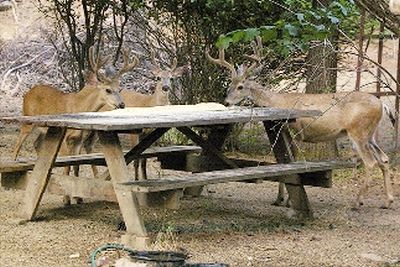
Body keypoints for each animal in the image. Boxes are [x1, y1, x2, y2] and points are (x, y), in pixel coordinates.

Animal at [208, 37, 396, 209]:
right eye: (230, 84)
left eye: (240, 86)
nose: (226, 102)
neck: (276, 101)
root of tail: (382, 104)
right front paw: (279, 199)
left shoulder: (295, 130)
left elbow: (291, 161)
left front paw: (287, 200)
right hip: (370, 135)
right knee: (384, 159)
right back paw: (388, 201)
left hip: (358, 131)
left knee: (371, 162)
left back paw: (358, 202)